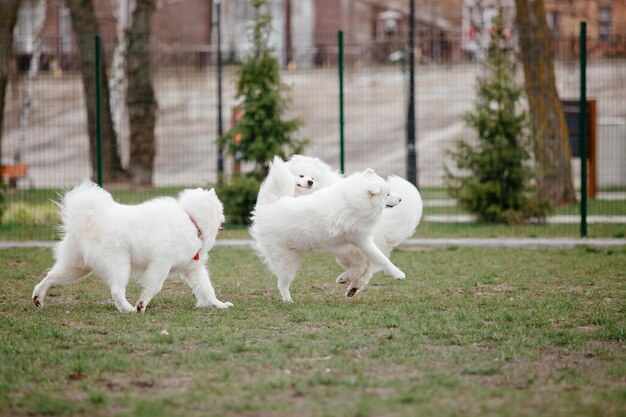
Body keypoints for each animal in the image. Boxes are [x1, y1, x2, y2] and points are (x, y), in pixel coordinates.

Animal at [31, 181, 233, 312]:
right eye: (221, 208)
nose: (226, 217)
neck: (191, 219)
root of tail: (91, 218)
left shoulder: (193, 268)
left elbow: (207, 288)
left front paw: (219, 304)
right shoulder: (161, 264)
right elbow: (155, 287)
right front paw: (141, 304)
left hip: (77, 268)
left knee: (49, 277)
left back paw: (38, 299)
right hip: (119, 265)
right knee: (116, 291)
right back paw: (128, 309)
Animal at [256, 154, 422, 296]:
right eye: (387, 195)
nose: (400, 199)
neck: (353, 201)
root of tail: (269, 206)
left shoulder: (359, 241)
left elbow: (374, 260)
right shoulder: (362, 240)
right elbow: (382, 259)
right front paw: (398, 273)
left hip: (340, 251)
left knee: (362, 268)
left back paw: (348, 282)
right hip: (289, 260)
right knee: (282, 283)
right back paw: (289, 300)